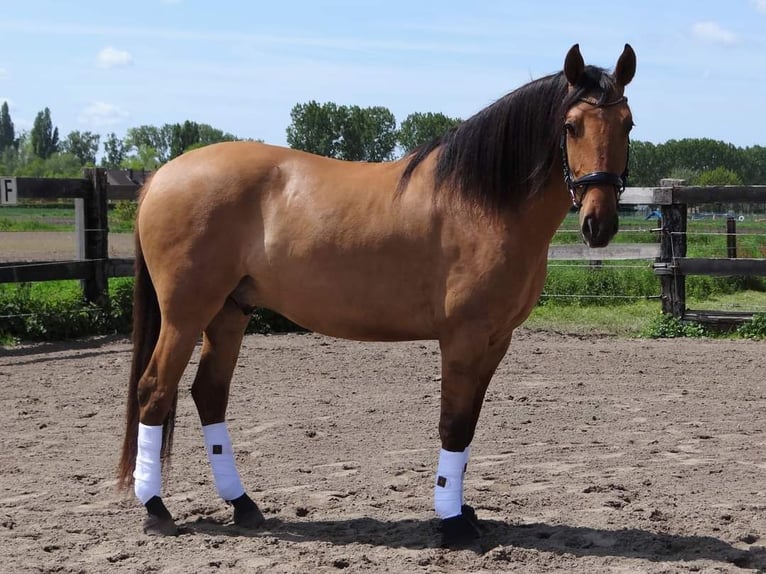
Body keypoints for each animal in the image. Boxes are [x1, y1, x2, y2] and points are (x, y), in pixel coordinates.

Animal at [118, 42, 636, 548]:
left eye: (628, 124)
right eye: (570, 126)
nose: (600, 223)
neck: (483, 204)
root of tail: (161, 177)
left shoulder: (496, 340)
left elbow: (468, 424)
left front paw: (464, 511)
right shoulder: (463, 339)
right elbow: (452, 423)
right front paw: (452, 523)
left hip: (230, 312)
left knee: (209, 394)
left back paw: (243, 506)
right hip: (186, 314)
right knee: (154, 391)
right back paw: (156, 510)